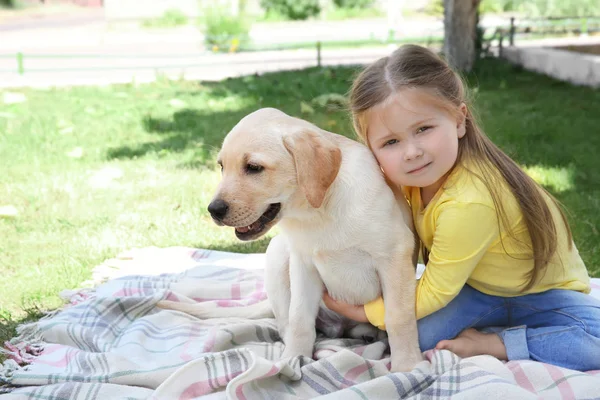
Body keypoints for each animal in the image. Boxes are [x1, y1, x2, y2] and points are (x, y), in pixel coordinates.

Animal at [158, 108, 422, 374]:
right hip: (277, 254)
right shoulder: (303, 265)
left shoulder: (394, 257)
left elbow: (398, 316)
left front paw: (407, 365)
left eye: (253, 167)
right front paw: (293, 359)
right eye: (222, 166)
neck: (317, 211)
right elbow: (299, 319)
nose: (214, 210)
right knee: (285, 324)